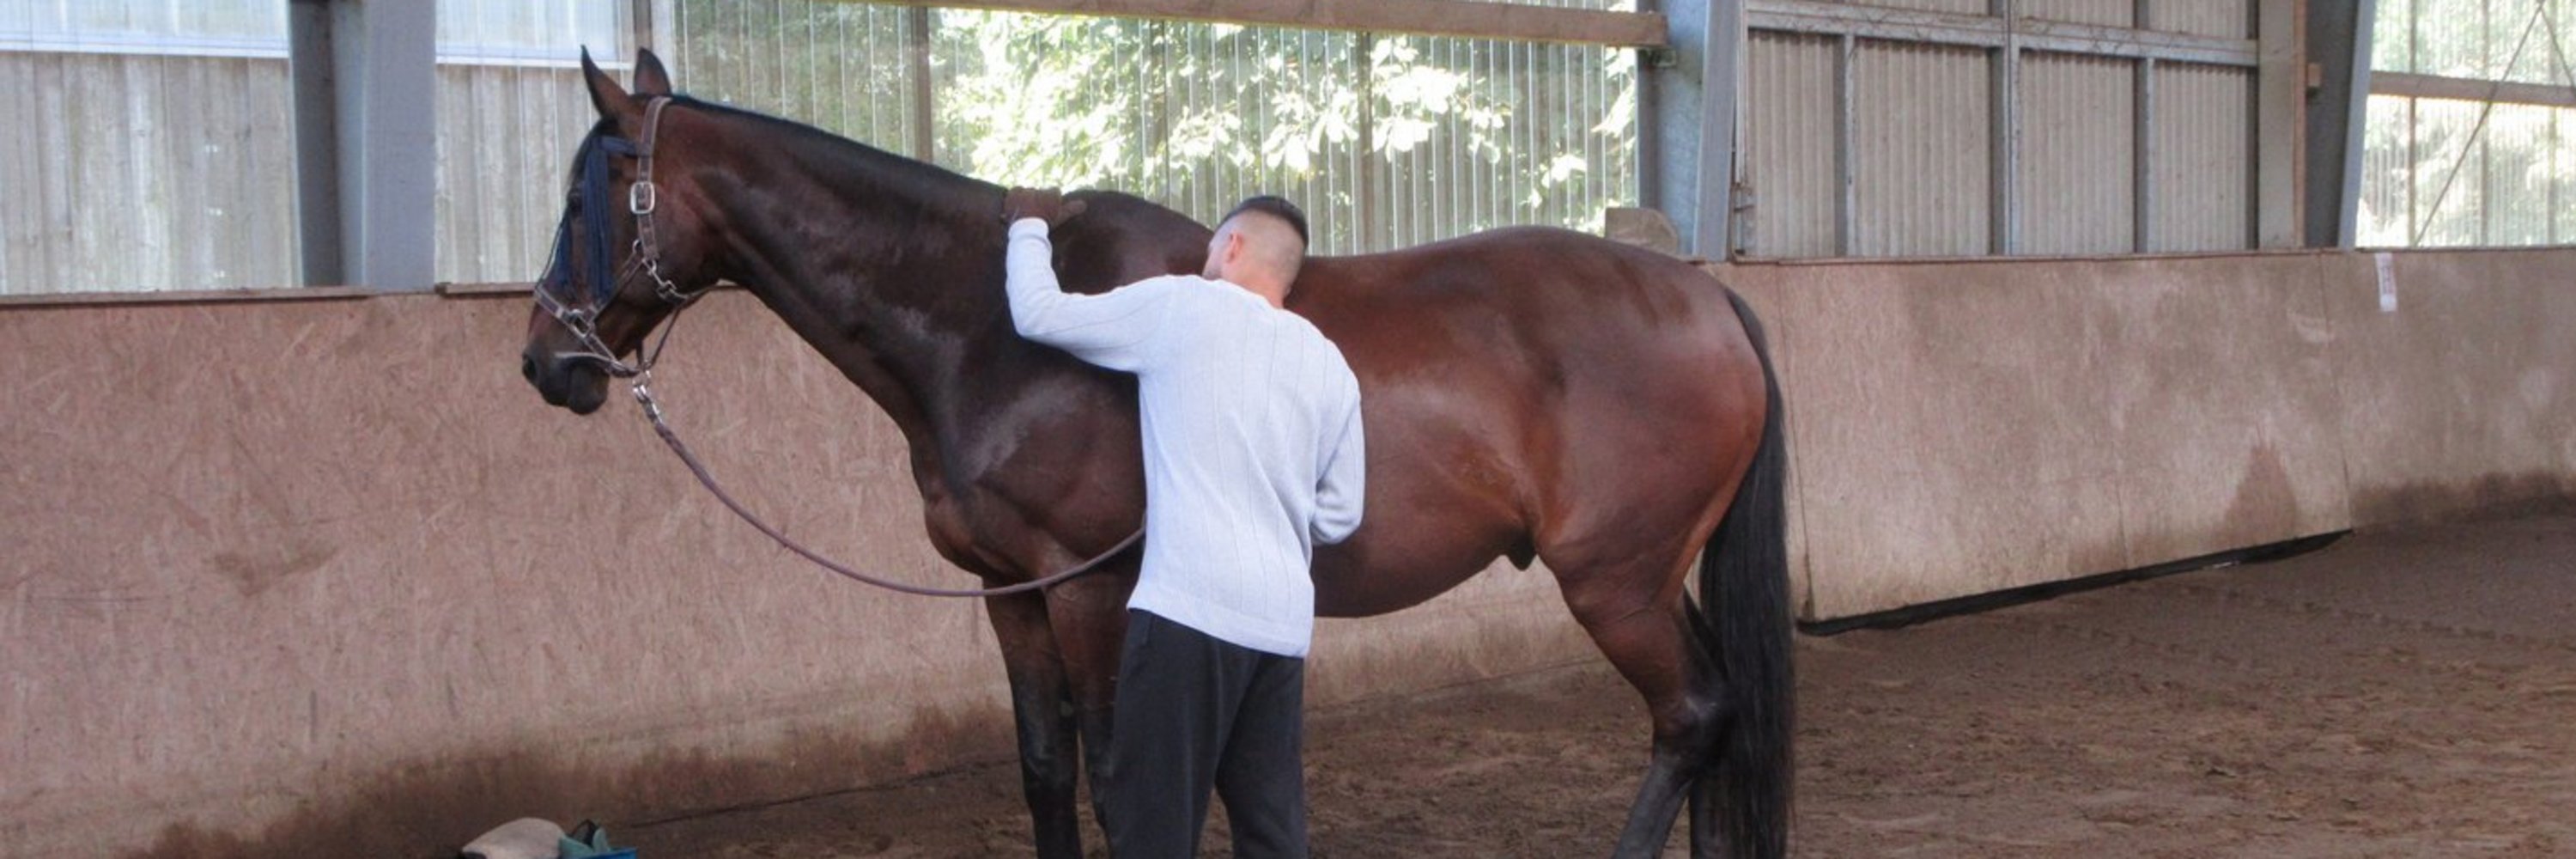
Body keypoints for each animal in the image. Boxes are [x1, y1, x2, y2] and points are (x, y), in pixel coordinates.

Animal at [518, 49, 1790, 858]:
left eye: (587, 196)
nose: (546, 359)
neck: (992, 325)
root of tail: (1706, 298)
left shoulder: (1089, 588)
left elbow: (1118, 768)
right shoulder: (1012, 594)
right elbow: (1045, 770)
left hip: (1613, 582)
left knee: (1691, 716)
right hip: (1656, 577)